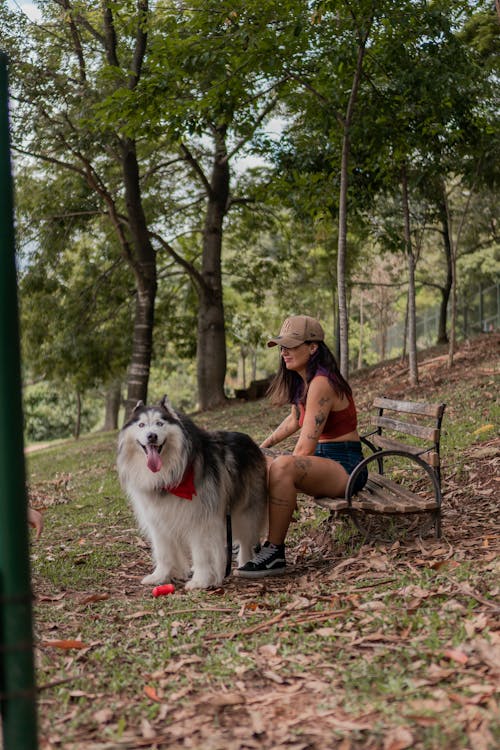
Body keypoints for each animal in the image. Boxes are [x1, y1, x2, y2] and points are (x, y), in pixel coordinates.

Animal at [116, 400, 268, 592]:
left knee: (246, 539)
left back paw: (244, 562)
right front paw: (160, 576)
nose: (151, 436)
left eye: (160, 423)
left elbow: (201, 553)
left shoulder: (200, 519)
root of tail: (250, 440)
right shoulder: (158, 520)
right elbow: (163, 552)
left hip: (245, 512)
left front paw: (200, 581)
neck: (170, 476)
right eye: (141, 425)